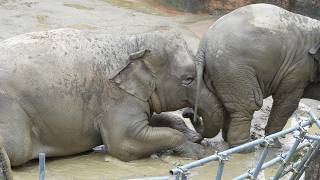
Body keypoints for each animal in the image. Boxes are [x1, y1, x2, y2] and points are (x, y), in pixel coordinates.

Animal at [0, 28, 225, 179]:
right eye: (188, 79)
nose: (189, 113)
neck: (134, 43)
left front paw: (191, 138)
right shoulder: (115, 97)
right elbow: (123, 144)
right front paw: (198, 152)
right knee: (17, 148)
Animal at [192, 3, 320, 148]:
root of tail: (202, 46)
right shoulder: (298, 66)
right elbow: (287, 102)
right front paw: (274, 145)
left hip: (219, 73)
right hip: (234, 70)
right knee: (249, 105)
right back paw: (245, 147)